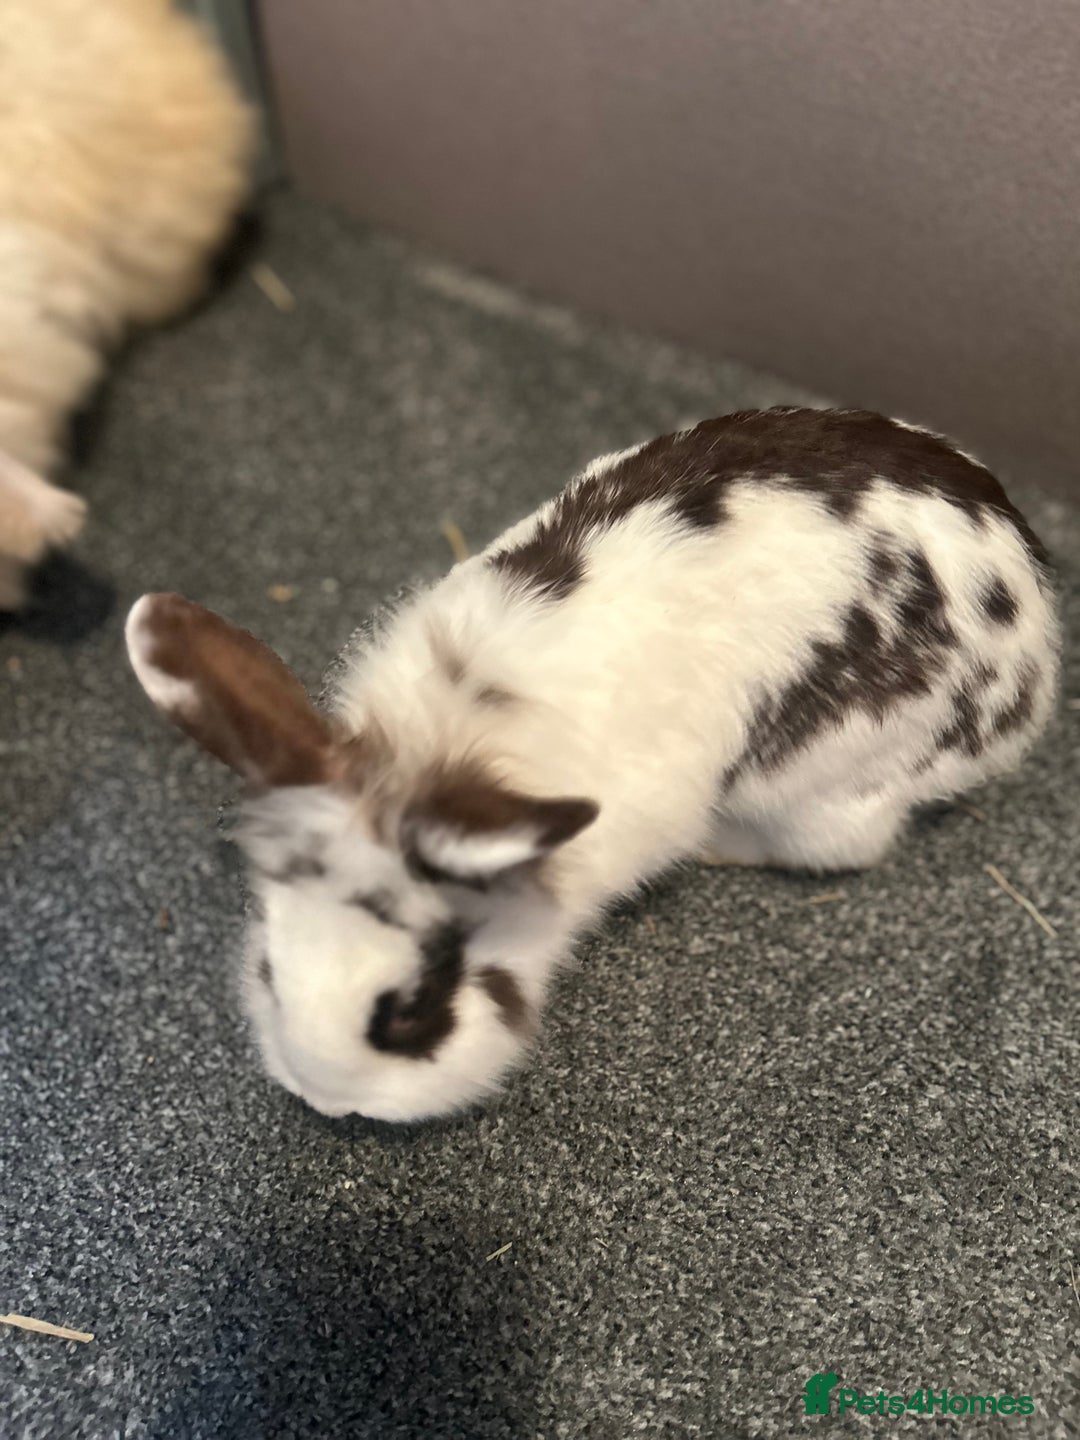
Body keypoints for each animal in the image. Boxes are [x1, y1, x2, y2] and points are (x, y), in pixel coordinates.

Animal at [126, 407, 1059, 1122]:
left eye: (413, 1009)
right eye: (270, 965)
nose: (326, 1099)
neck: (441, 756)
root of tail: (1038, 629)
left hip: (830, 790)